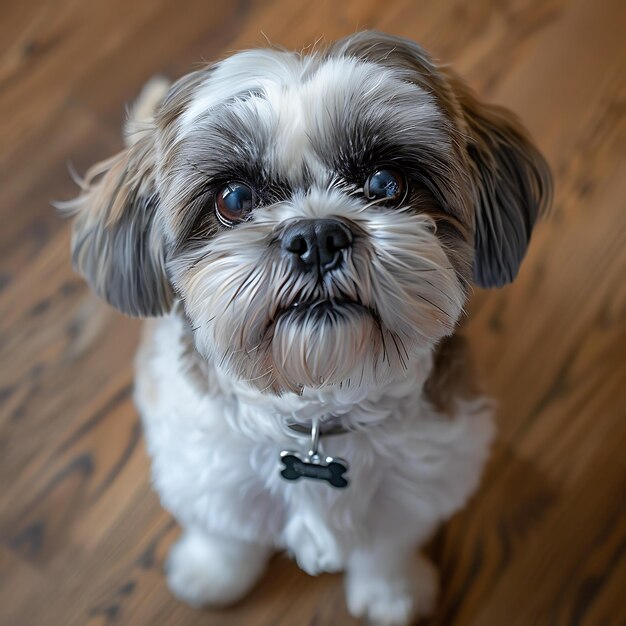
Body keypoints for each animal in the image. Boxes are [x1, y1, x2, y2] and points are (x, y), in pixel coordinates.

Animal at [63, 33, 548, 624]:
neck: (318, 414)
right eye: (234, 199)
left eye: (386, 182)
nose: (317, 235)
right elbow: (226, 536)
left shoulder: (418, 489)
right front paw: (211, 575)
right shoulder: (208, 477)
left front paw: (391, 593)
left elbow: (388, 546)